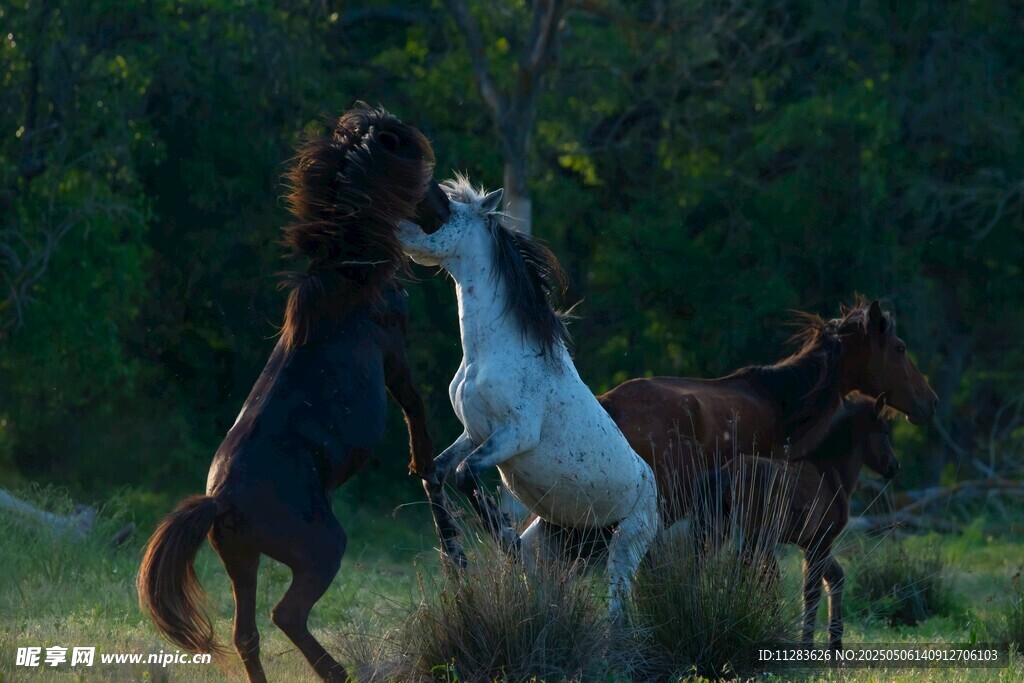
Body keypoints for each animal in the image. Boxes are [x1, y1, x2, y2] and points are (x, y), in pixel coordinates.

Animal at [137, 105, 462, 683]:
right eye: (417, 166)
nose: (443, 209)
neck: (348, 276)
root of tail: (219, 502)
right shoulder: (393, 352)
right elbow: (415, 410)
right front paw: (422, 466)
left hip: (241, 562)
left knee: (246, 633)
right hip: (321, 550)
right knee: (285, 614)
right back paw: (339, 672)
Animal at [397, 176, 660, 618]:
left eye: (441, 212)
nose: (394, 227)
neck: (493, 352)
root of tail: (653, 488)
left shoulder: (514, 435)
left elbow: (465, 474)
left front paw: (504, 541)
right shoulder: (473, 432)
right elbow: (436, 474)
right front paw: (455, 558)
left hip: (626, 545)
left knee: (617, 615)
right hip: (556, 544)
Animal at [693, 393, 899, 651]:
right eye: (885, 432)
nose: (894, 467)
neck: (833, 475)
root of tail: (726, 474)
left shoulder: (808, 542)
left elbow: (835, 577)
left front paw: (835, 641)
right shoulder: (822, 539)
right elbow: (812, 589)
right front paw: (807, 644)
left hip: (719, 532)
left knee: (702, 567)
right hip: (754, 536)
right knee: (744, 574)